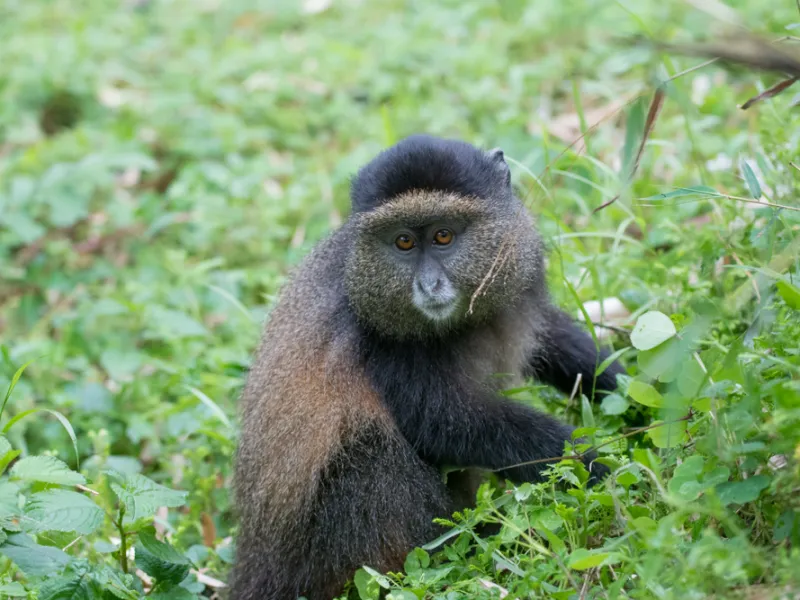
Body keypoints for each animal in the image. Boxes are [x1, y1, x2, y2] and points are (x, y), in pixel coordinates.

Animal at [230, 134, 625, 600]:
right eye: (403, 242)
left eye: (442, 235)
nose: (428, 285)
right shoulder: (382, 341)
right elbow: (444, 421)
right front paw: (593, 463)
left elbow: (553, 340)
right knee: (370, 453)